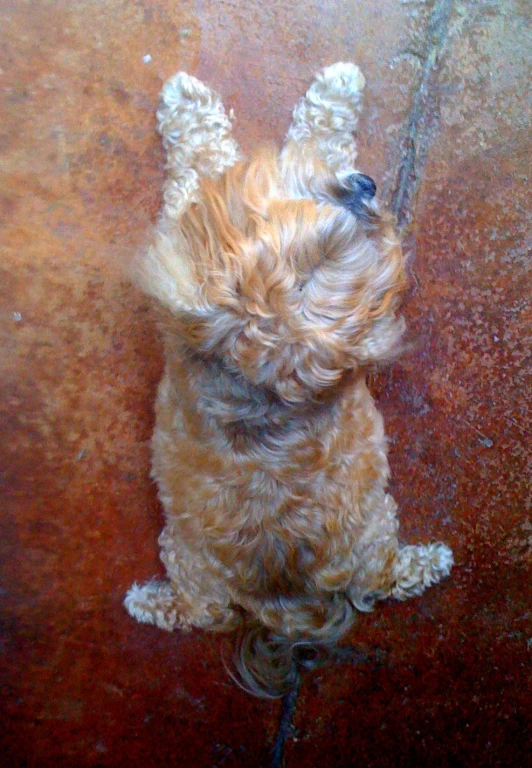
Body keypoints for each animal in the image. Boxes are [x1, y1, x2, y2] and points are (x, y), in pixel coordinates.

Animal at [124, 60, 454, 696]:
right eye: (317, 245)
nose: (365, 188)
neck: (257, 375)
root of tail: (288, 609)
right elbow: (211, 155)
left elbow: (209, 156)